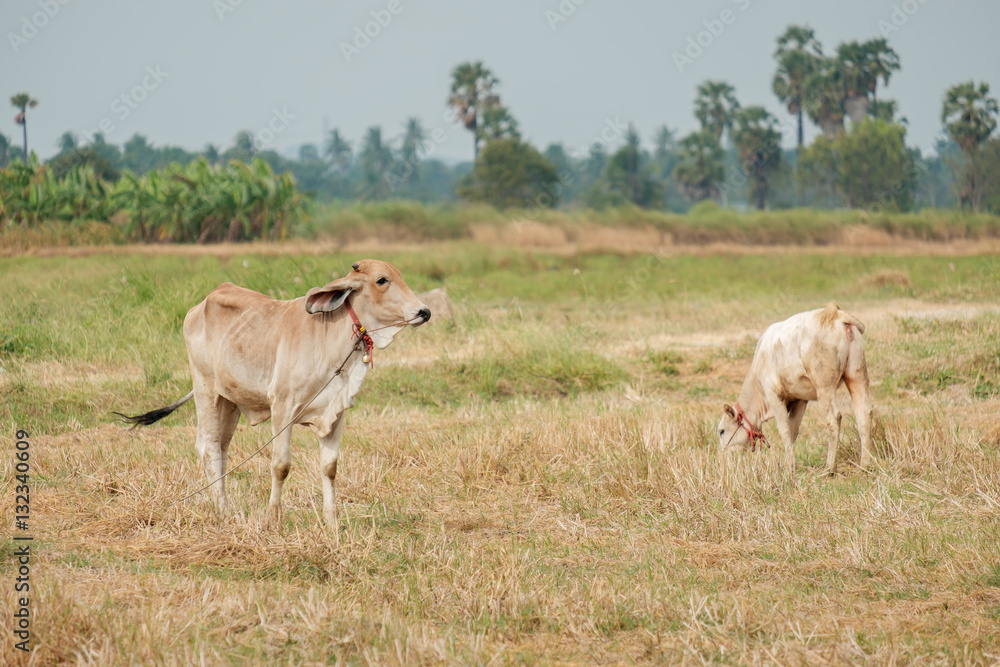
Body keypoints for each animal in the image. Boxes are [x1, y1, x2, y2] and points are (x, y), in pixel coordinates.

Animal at [117, 260, 430, 528]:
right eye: (382, 280)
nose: (423, 312)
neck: (332, 338)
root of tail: (202, 303)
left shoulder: (336, 413)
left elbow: (329, 467)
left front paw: (332, 523)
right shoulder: (282, 408)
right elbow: (281, 465)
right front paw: (273, 518)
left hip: (229, 402)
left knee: (221, 449)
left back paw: (224, 504)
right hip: (206, 390)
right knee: (208, 447)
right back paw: (222, 510)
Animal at [716, 302, 872, 474]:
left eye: (722, 431)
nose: (723, 458)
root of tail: (835, 314)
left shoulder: (773, 396)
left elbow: (784, 430)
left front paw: (789, 468)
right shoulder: (800, 400)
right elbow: (793, 431)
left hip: (824, 385)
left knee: (834, 418)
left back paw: (829, 468)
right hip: (857, 374)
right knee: (864, 413)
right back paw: (865, 464)